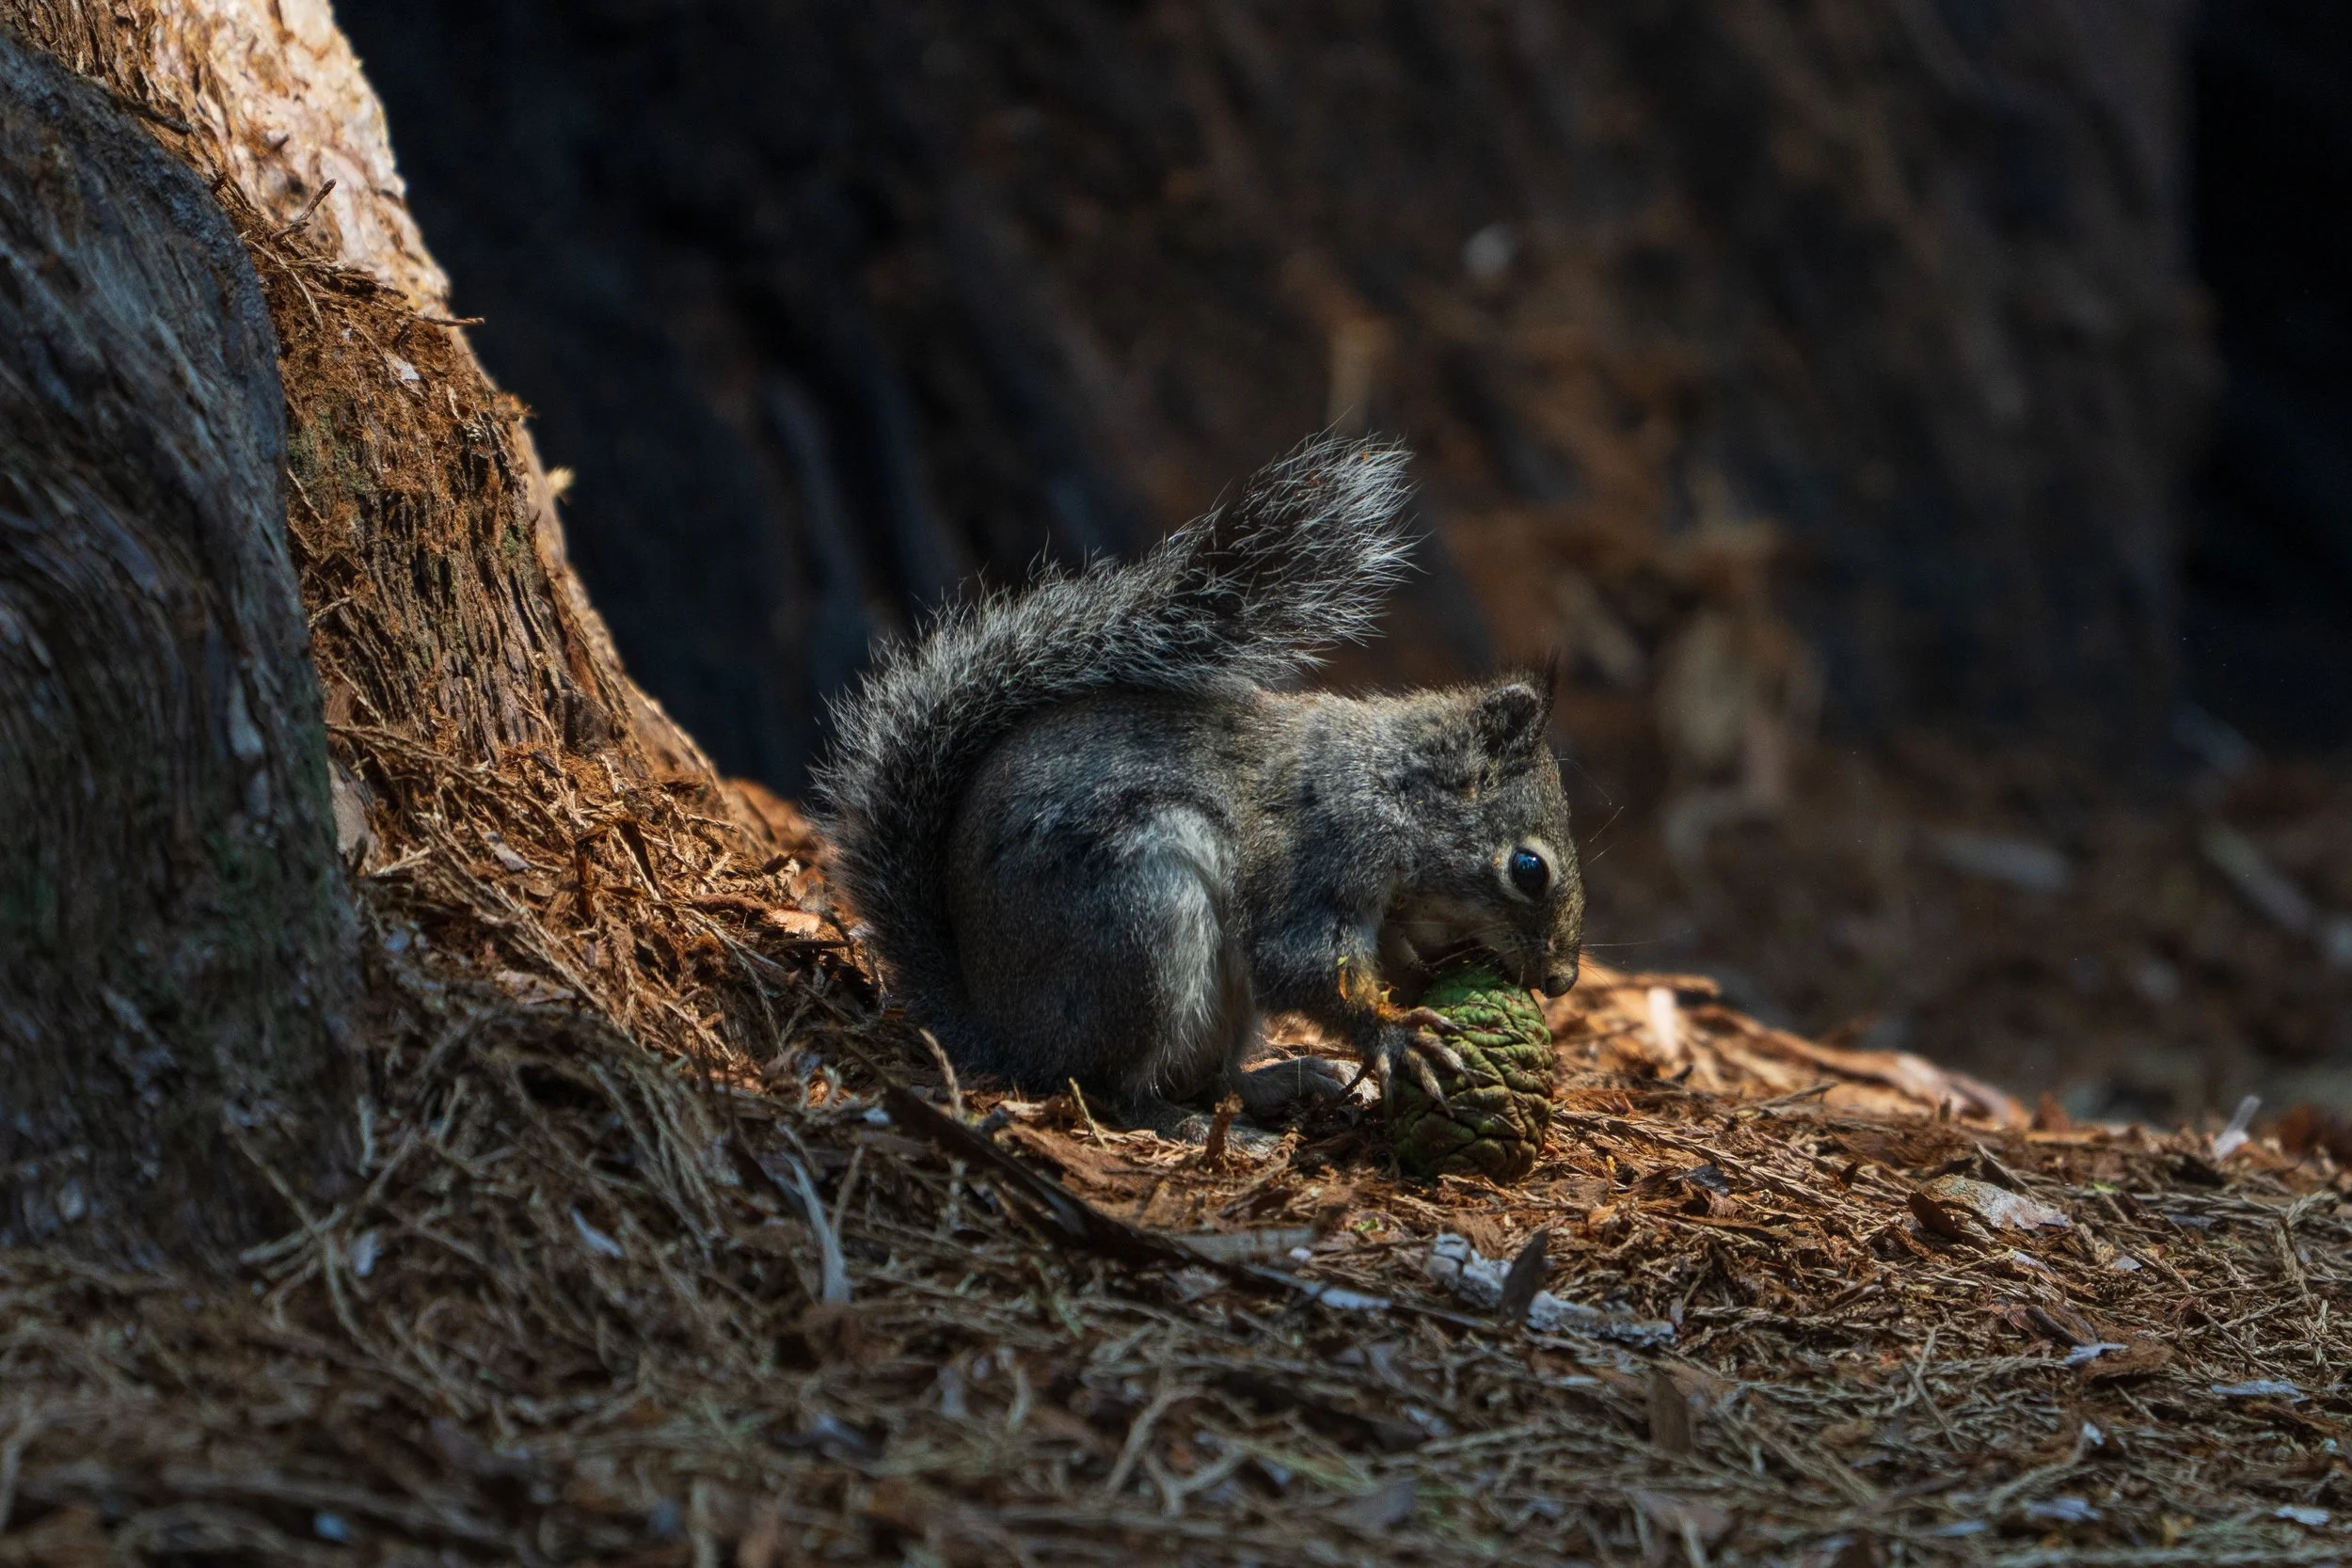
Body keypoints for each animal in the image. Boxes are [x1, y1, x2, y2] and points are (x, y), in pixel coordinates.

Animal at [813, 436, 1584, 1136]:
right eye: (1529, 869)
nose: (1561, 982)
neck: (1391, 788)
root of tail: (1000, 1033)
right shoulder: (1323, 858)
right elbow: (1298, 964)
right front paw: (1398, 1035)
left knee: (1212, 1078)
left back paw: (1281, 1082)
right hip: (1142, 926)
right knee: (1115, 1087)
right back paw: (1191, 1123)